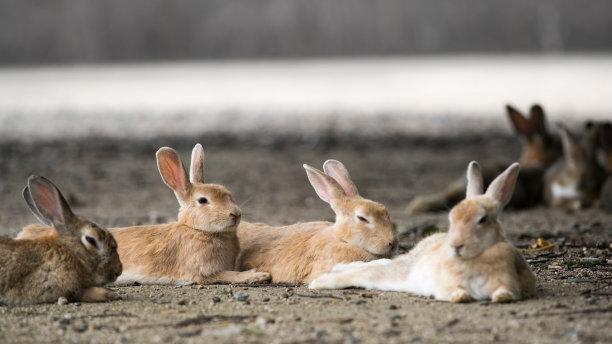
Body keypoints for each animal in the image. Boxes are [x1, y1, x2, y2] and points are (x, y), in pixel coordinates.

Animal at [18, 143, 270, 284]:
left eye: (229, 194)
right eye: (203, 201)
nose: (236, 214)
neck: (197, 229)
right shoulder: (204, 273)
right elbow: (229, 275)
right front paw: (258, 276)